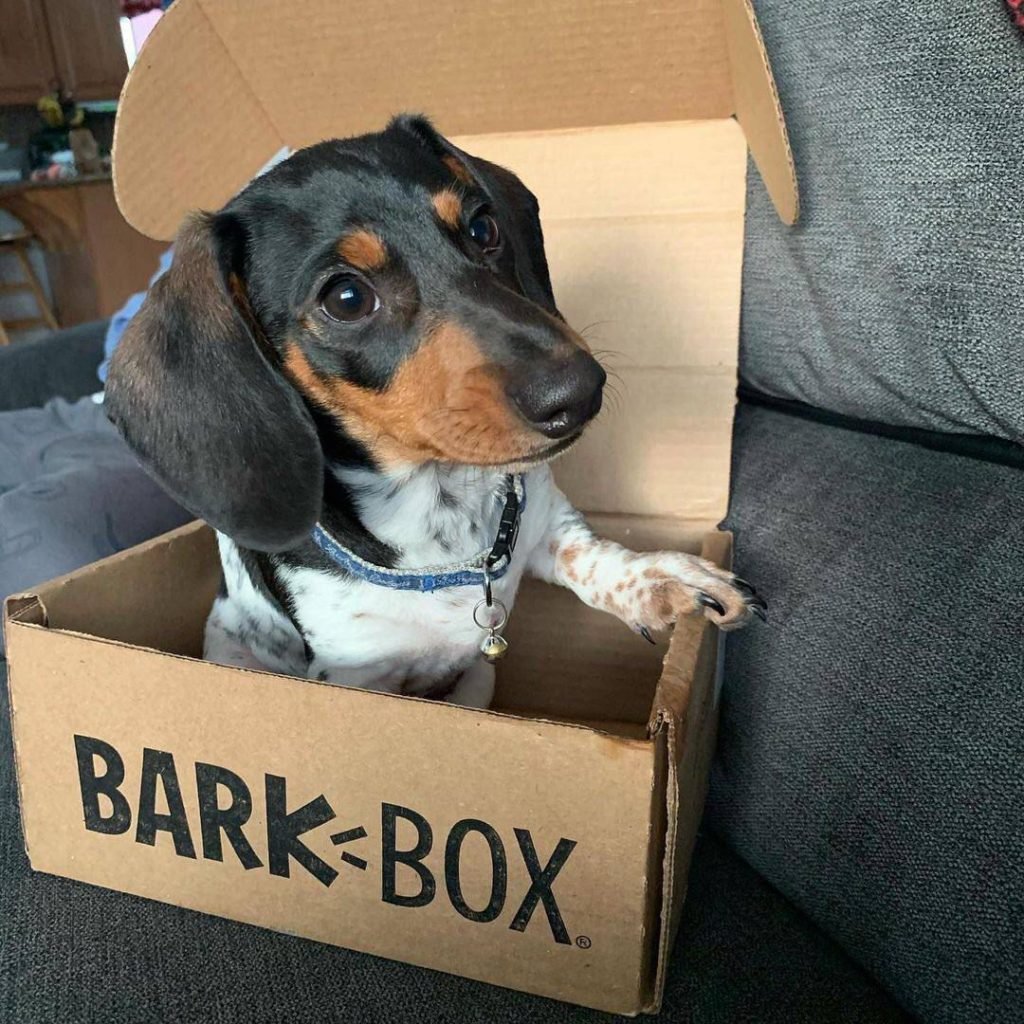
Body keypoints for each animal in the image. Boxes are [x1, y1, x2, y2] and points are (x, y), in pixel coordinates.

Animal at [105, 115, 766, 709]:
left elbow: (596, 556)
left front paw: (668, 579)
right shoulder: (358, 673)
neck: (440, 513)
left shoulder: (544, 520)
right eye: (347, 297)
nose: (580, 392)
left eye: (482, 227)